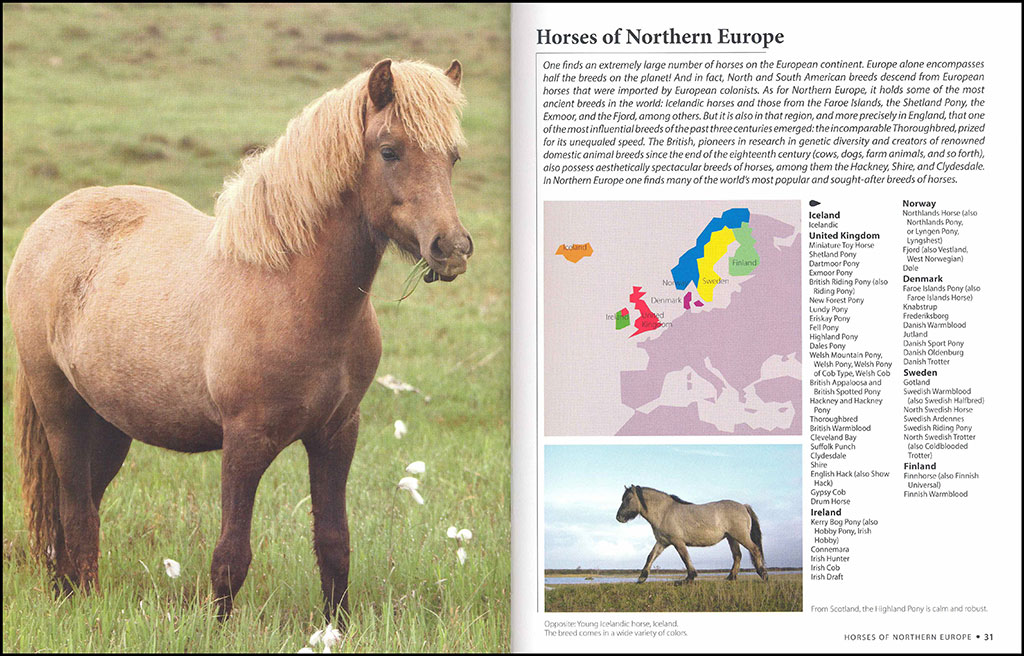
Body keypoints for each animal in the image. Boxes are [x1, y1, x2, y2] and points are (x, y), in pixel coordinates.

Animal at [5, 58, 472, 624]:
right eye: (389, 151)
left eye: (452, 156)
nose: (452, 248)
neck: (290, 289)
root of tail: (45, 225)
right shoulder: (245, 441)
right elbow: (231, 554)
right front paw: (219, 629)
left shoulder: (337, 434)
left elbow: (333, 543)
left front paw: (335, 628)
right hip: (62, 413)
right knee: (75, 513)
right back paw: (85, 608)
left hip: (110, 425)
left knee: (75, 511)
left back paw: (66, 594)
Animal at [615, 485, 768, 584]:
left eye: (628, 499)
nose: (618, 517)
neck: (665, 512)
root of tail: (743, 506)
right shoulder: (662, 542)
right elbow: (650, 557)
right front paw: (642, 578)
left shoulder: (678, 542)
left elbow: (685, 558)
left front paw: (689, 578)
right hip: (732, 538)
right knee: (737, 556)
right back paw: (730, 577)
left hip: (740, 536)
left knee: (754, 550)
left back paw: (763, 575)